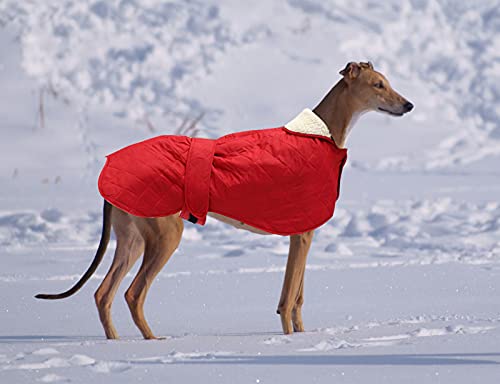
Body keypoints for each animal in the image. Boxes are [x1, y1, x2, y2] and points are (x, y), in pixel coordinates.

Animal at [36, 62, 414, 340]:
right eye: (378, 85)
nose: (408, 105)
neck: (321, 133)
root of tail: (111, 170)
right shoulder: (301, 237)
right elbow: (288, 299)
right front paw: (290, 342)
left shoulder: (304, 233)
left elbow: (298, 299)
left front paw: (302, 339)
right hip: (165, 236)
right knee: (133, 294)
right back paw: (154, 344)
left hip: (131, 239)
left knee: (103, 295)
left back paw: (117, 346)